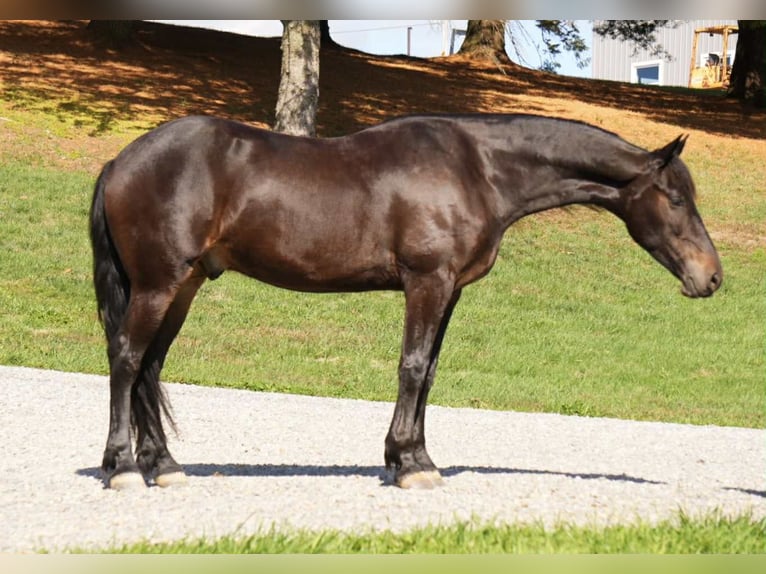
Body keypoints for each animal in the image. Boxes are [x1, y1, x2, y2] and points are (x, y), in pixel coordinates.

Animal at [89, 114, 722, 490]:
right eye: (674, 197)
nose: (711, 278)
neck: (479, 168)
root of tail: (121, 160)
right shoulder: (428, 281)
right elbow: (412, 368)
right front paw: (411, 465)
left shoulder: (450, 289)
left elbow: (431, 372)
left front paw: (412, 457)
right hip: (158, 284)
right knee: (126, 359)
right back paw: (122, 468)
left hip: (184, 286)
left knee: (150, 367)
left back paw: (164, 466)